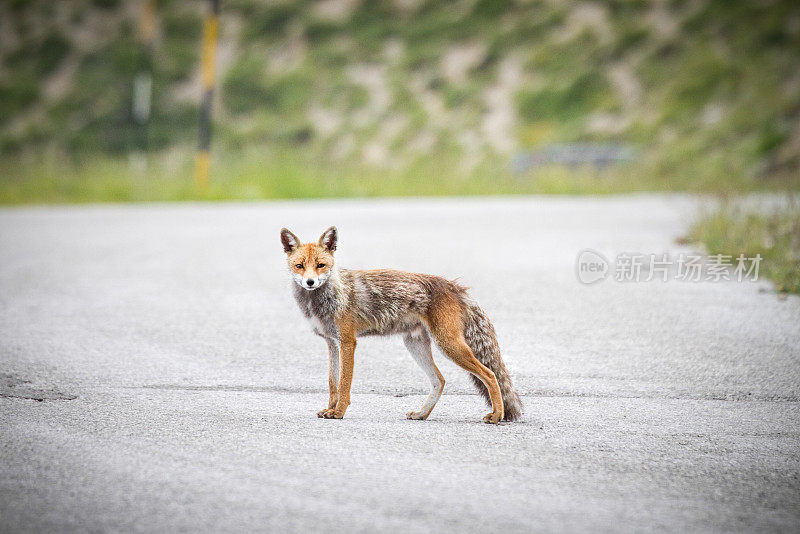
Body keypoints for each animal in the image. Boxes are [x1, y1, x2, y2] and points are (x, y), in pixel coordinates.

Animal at [282, 227, 524, 428]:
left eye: (320, 265)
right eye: (299, 266)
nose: (310, 282)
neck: (325, 299)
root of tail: (453, 285)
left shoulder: (348, 342)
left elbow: (344, 384)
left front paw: (339, 412)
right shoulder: (332, 342)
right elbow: (332, 382)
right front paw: (330, 409)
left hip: (448, 345)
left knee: (490, 374)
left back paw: (497, 416)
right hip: (416, 346)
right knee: (440, 380)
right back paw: (422, 414)